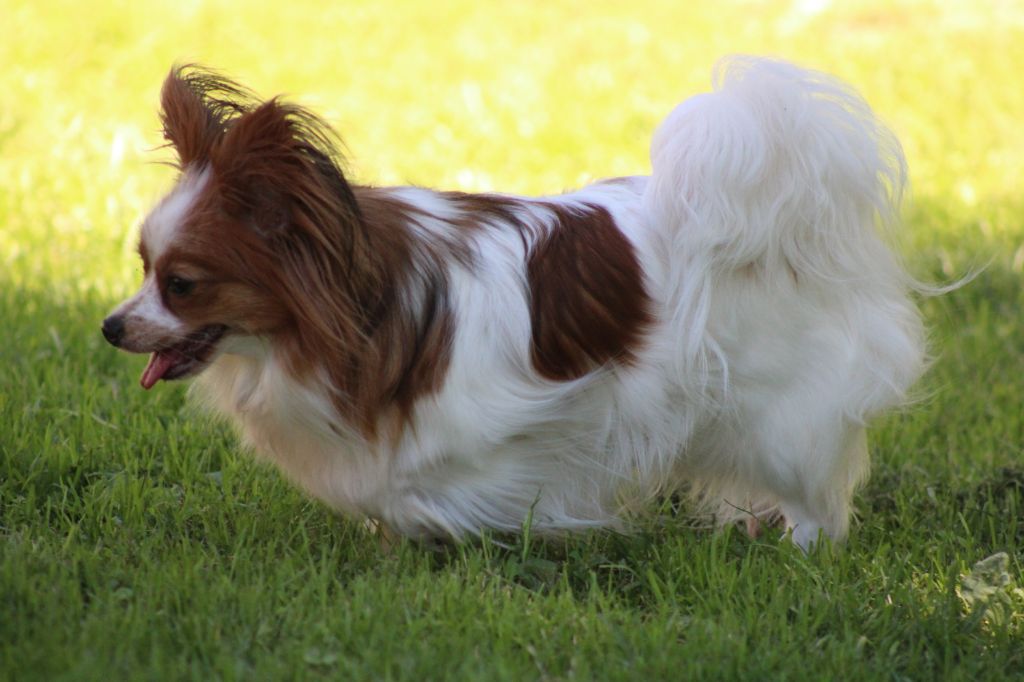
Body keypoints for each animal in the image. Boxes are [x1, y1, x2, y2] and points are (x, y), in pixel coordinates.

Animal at [102, 57, 926, 548]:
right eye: (143, 267)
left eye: (182, 283)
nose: (111, 327)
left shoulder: (511, 420)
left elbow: (450, 482)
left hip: (777, 410)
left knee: (815, 488)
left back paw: (802, 545)